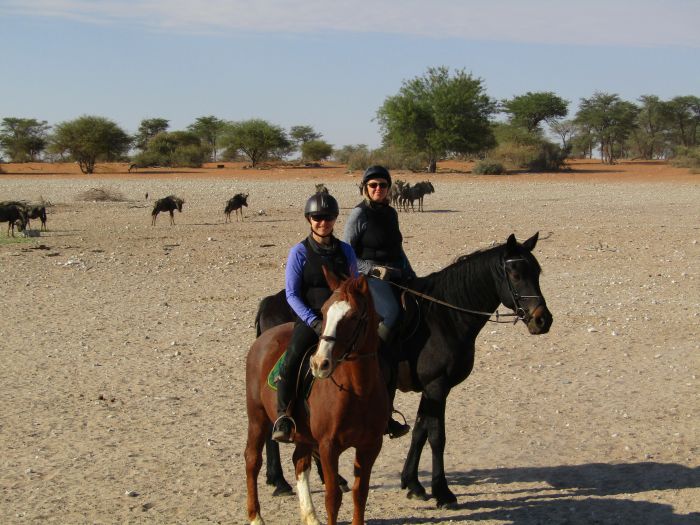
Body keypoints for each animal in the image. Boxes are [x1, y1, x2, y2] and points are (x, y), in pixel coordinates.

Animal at [246, 270, 388, 524]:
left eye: (353, 316)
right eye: (323, 312)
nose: (320, 363)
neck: (358, 391)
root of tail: (264, 338)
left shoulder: (370, 445)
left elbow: (360, 494)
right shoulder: (328, 446)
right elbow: (333, 497)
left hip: (303, 433)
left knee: (299, 462)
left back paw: (310, 516)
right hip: (257, 417)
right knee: (252, 460)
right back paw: (256, 517)